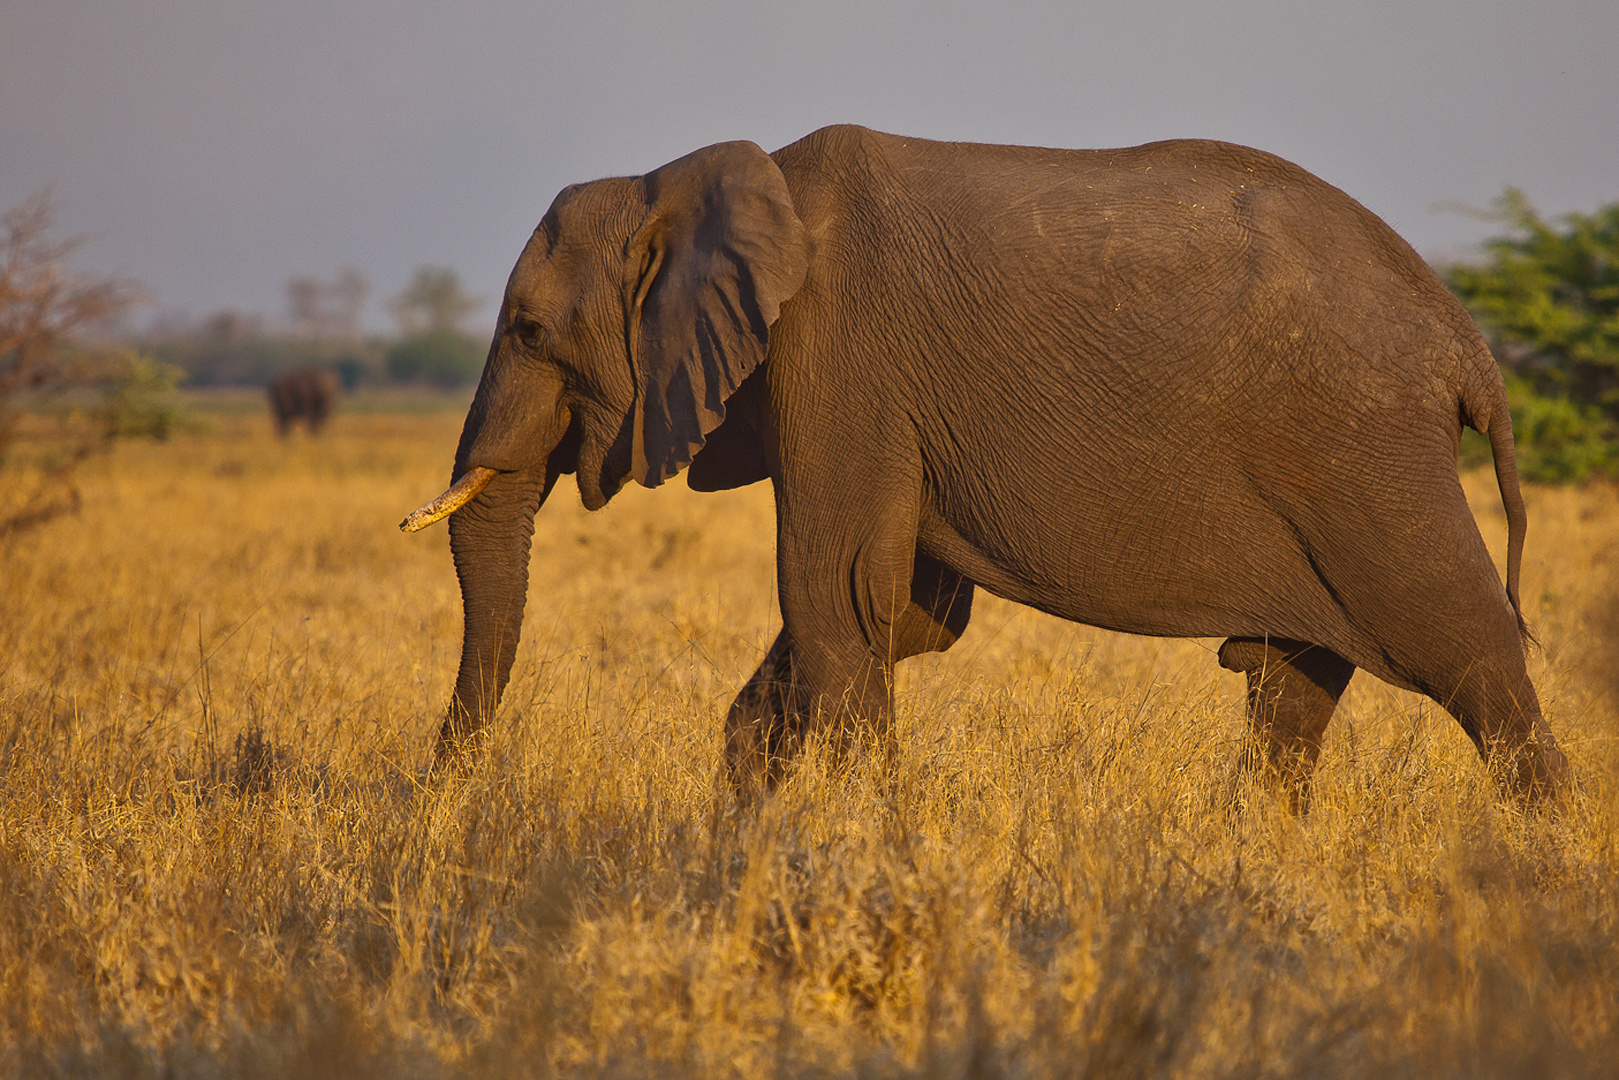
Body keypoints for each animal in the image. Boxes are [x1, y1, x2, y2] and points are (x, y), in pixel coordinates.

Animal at [401, 122, 1567, 806]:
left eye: (529, 330)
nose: (443, 796)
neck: (684, 181)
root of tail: (1466, 344)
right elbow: (899, 613)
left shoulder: (839, 349)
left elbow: (839, 597)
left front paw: (863, 848)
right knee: (1292, 692)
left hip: (1366, 455)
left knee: (1472, 658)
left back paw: (1540, 879)